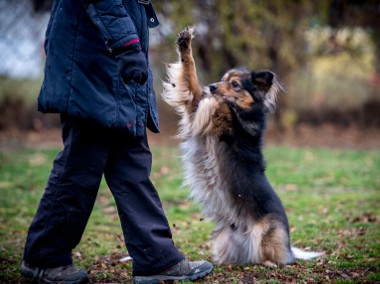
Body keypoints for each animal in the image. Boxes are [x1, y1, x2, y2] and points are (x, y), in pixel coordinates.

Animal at [162, 27, 322, 268]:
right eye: (222, 80)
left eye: (235, 84)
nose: (213, 87)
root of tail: (289, 249)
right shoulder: (194, 104)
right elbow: (191, 75)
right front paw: (185, 44)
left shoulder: (225, 122)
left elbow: (224, 104)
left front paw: (222, 100)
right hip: (223, 238)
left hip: (268, 231)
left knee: (276, 257)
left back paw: (270, 262)